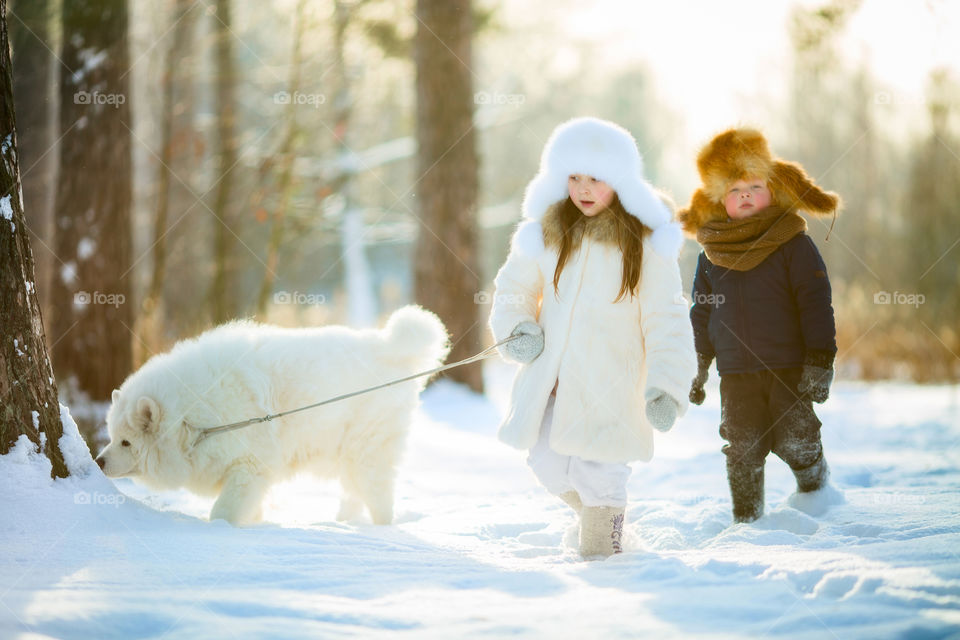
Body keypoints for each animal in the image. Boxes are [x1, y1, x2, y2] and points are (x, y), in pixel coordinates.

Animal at [99, 308, 452, 528]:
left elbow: (223, 511)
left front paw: (219, 530)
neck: (193, 419)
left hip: (367, 452)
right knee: (353, 493)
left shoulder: (248, 469)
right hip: (347, 454)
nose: (99, 460)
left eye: (127, 442)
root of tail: (387, 347)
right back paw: (343, 523)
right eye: (111, 437)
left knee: (379, 499)